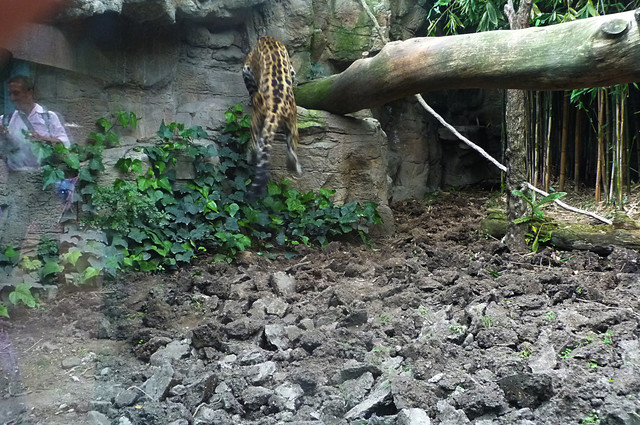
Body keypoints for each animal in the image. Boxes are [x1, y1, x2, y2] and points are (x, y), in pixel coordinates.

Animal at [242, 36, 301, 197]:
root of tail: (277, 105)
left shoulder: (247, 67)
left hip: (257, 117)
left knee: (255, 143)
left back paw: (250, 156)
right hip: (292, 119)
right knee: (291, 145)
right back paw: (294, 167)